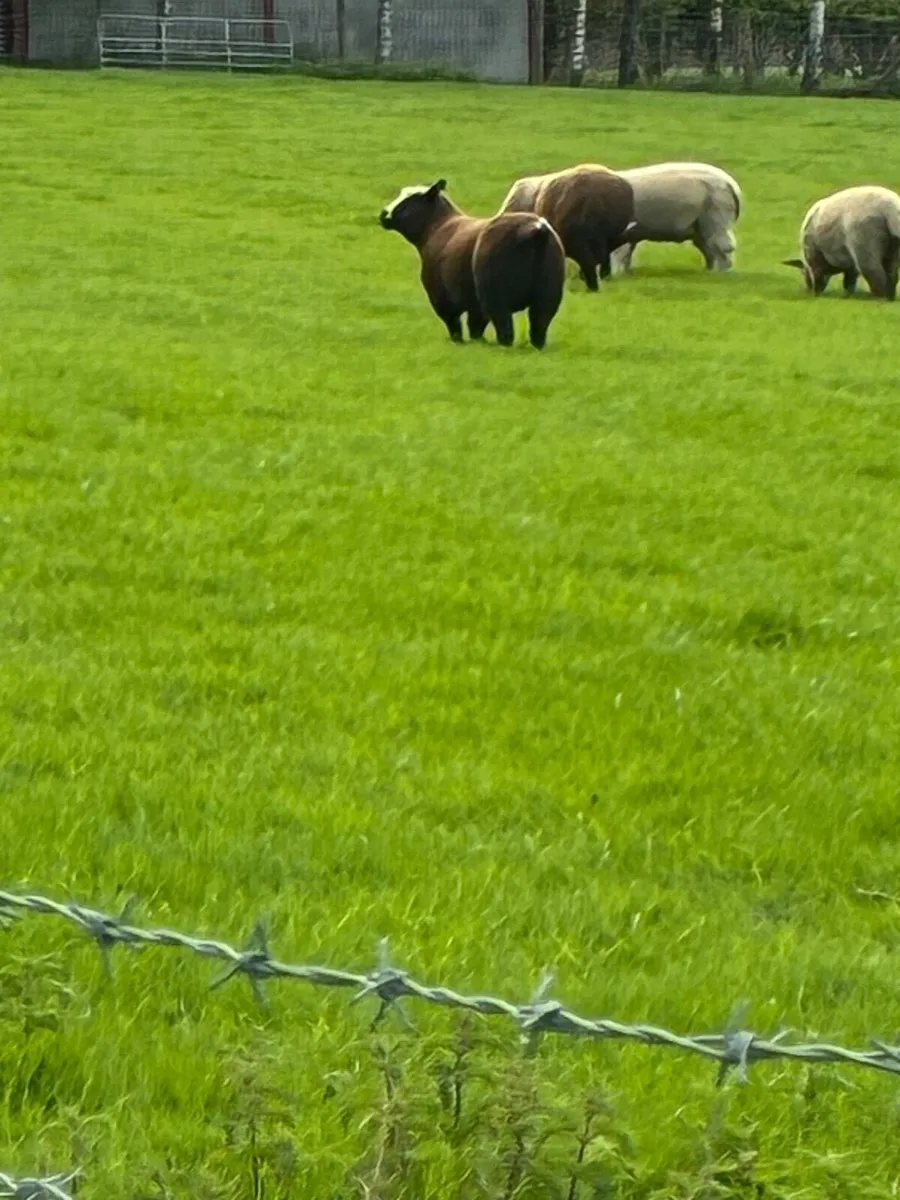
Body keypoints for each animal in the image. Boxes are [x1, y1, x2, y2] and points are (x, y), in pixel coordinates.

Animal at [379, 179, 567, 348]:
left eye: (410, 200)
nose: (383, 214)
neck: (436, 227)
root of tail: (536, 230)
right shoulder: (473, 303)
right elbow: (475, 326)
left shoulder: (441, 297)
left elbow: (455, 324)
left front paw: (460, 342)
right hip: (547, 295)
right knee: (539, 327)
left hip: (495, 295)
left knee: (504, 329)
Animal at [608, 162, 743, 274]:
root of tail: (729, 183)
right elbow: (626, 255)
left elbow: (619, 254)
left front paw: (617, 275)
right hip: (701, 226)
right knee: (709, 248)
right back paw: (708, 271)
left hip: (716, 217)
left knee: (723, 246)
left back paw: (720, 273)